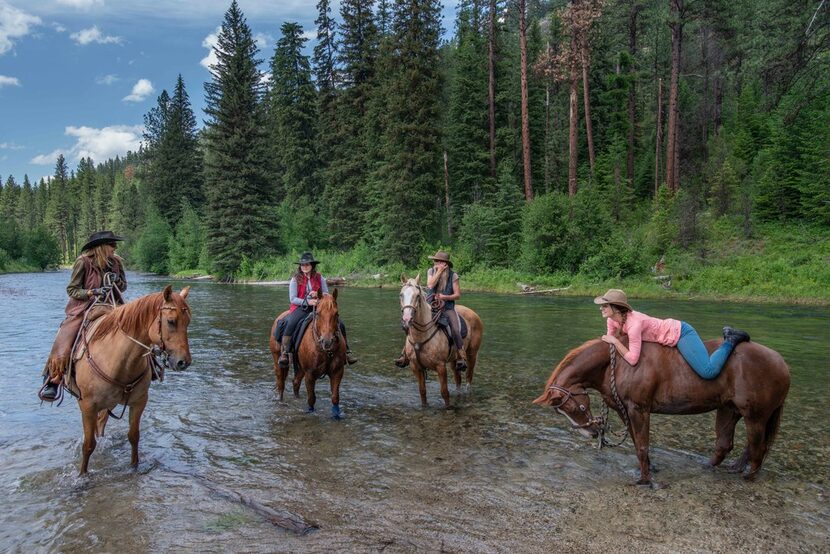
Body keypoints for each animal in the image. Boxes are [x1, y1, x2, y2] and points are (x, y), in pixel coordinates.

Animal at [72, 286, 193, 472]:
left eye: (188, 322)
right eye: (171, 321)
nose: (184, 362)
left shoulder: (139, 401)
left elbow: (134, 436)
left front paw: (134, 466)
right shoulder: (87, 406)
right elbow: (88, 445)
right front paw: (82, 475)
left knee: (102, 422)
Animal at [400, 272, 484, 406]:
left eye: (417, 296)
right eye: (401, 295)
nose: (407, 320)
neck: (421, 336)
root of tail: (472, 313)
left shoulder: (440, 366)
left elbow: (445, 393)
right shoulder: (416, 367)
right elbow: (422, 392)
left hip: (472, 354)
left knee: (468, 380)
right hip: (454, 360)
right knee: (458, 380)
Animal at [536, 336, 788, 484]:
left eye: (576, 406)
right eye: (562, 411)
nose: (591, 433)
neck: (619, 362)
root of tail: (782, 363)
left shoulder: (639, 409)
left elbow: (642, 445)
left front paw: (644, 480)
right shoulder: (625, 411)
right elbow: (638, 443)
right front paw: (649, 470)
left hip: (755, 416)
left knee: (758, 446)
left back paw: (748, 476)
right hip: (729, 411)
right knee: (726, 445)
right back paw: (713, 468)